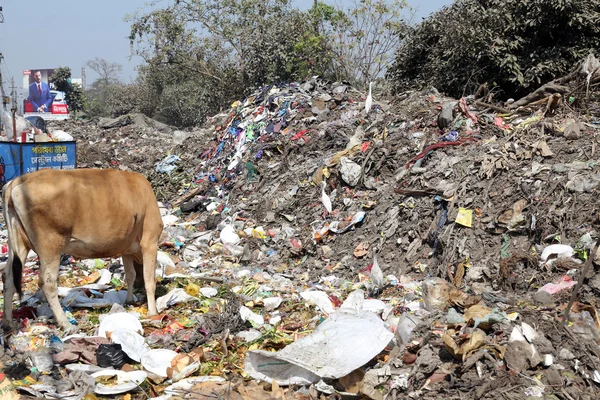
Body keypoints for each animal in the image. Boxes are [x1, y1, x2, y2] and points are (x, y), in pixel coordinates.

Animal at [1, 169, 164, 332]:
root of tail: (17, 181)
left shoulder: (127, 249)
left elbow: (130, 275)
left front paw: (129, 300)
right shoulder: (150, 241)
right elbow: (149, 279)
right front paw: (153, 312)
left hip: (19, 244)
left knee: (8, 277)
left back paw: (8, 323)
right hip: (50, 245)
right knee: (47, 282)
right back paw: (66, 323)